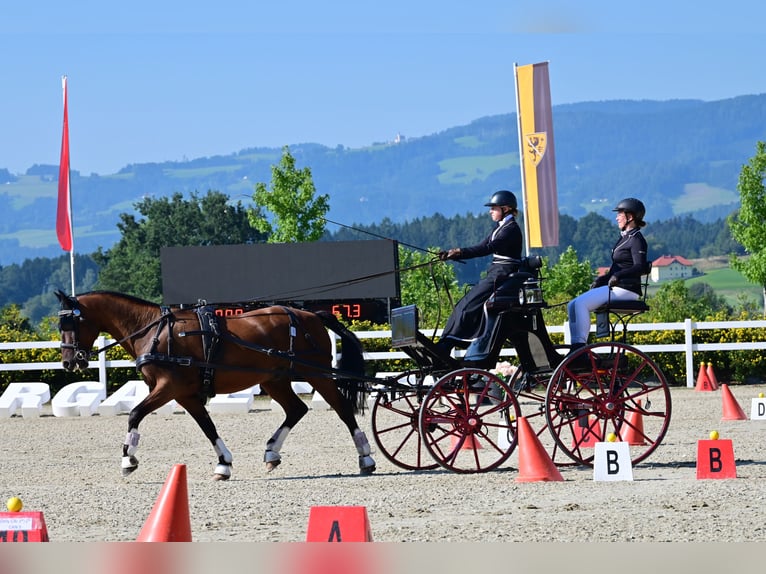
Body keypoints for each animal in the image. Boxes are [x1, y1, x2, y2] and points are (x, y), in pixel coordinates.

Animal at [54, 292, 378, 482]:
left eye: (71, 323)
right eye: (60, 326)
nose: (70, 362)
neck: (154, 330)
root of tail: (312, 315)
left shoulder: (168, 387)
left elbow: (135, 414)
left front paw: (128, 459)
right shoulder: (185, 394)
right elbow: (207, 426)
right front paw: (224, 464)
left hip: (316, 373)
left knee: (342, 409)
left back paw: (366, 457)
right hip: (274, 379)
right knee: (296, 409)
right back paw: (271, 453)